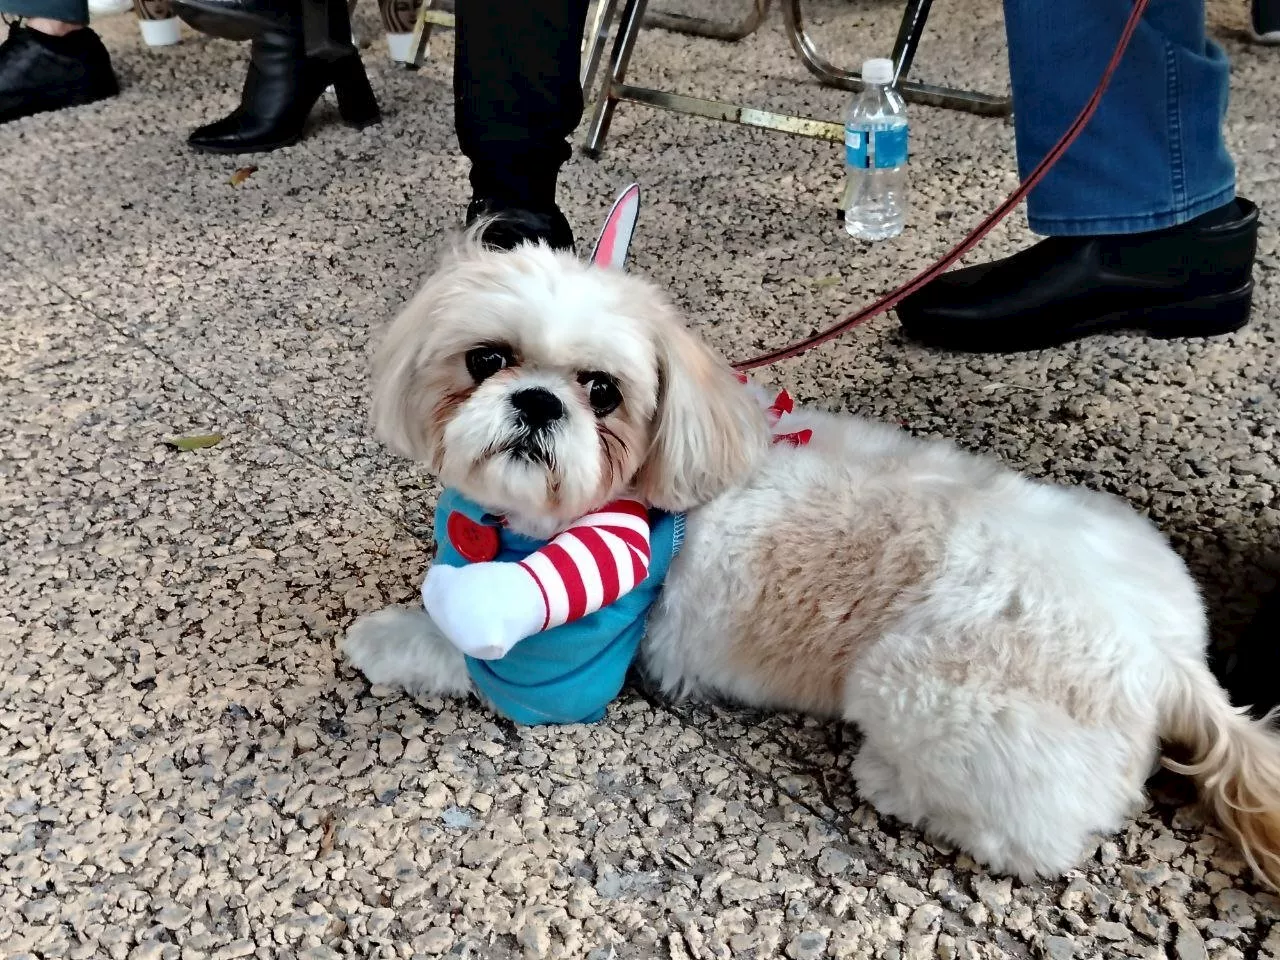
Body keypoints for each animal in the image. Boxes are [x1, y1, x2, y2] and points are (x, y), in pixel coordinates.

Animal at [345, 236, 1280, 890]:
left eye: (603, 392)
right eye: (487, 360)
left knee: (1033, 836)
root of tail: (1170, 658)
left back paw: (890, 781)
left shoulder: (567, 664)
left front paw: (384, 636)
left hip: (921, 689)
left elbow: (456, 646)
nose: (537, 402)